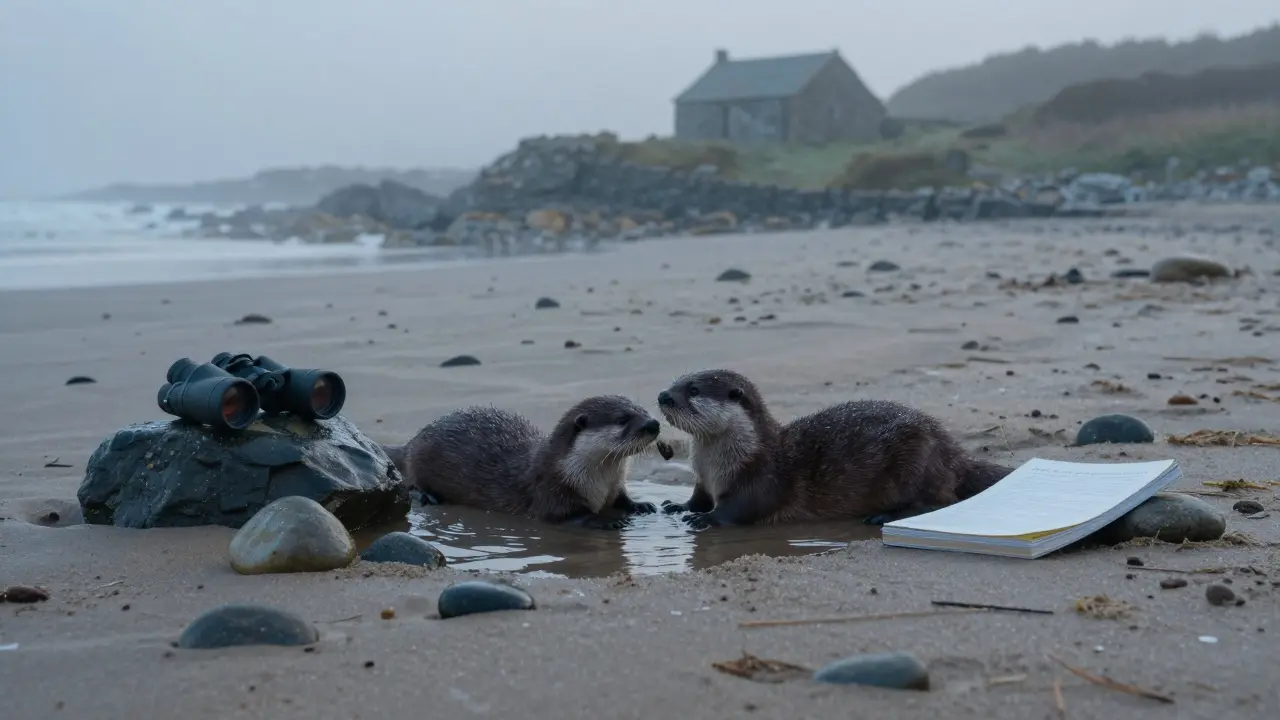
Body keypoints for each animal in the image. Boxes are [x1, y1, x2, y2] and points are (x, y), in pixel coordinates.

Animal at [383, 395, 662, 530]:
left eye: (644, 411)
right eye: (622, 419)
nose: (654, 424)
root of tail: (412, 441)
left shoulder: (615, 485)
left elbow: (621, 498)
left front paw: (640, 504)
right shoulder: (550, 489)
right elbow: (566, 516)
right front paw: (604, 521)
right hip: (419, 459)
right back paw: (426, 496)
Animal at [656, 369, 1012, 530]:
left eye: (693, 390)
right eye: (675, 382)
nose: (662, 395)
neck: (719, 464)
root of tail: (952, 451)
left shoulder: (762, 477)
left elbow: (741, 508)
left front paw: (705, 520)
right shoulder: (703, 479)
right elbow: (698, 497)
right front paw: (678, 506)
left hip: (915, 460)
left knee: (938, 500)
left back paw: (883, 516)